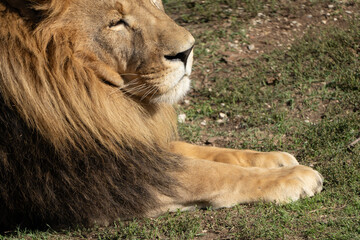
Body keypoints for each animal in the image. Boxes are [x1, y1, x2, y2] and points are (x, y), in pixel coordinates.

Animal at [0, 0, 322, 230]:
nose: (187, 52)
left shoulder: (115, 136)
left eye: (151, 0)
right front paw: (291, 176)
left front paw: (271, 158)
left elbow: (204, 152)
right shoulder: (96, 180)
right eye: (115, 22)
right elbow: (208, 174)